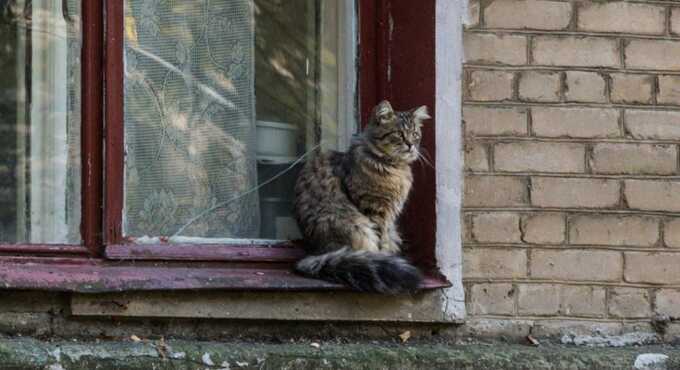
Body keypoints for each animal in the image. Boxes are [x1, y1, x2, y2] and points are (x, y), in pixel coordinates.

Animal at [292, 99, 430, 294]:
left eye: (415, 134)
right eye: (399, 134)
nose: (411, 145)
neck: (394, 169)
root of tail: (314, 252)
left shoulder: (389, 219)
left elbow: (386, 241)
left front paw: (389, 255)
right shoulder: (374, 209)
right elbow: (380, 243)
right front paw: (384, 257)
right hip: (355, 227)